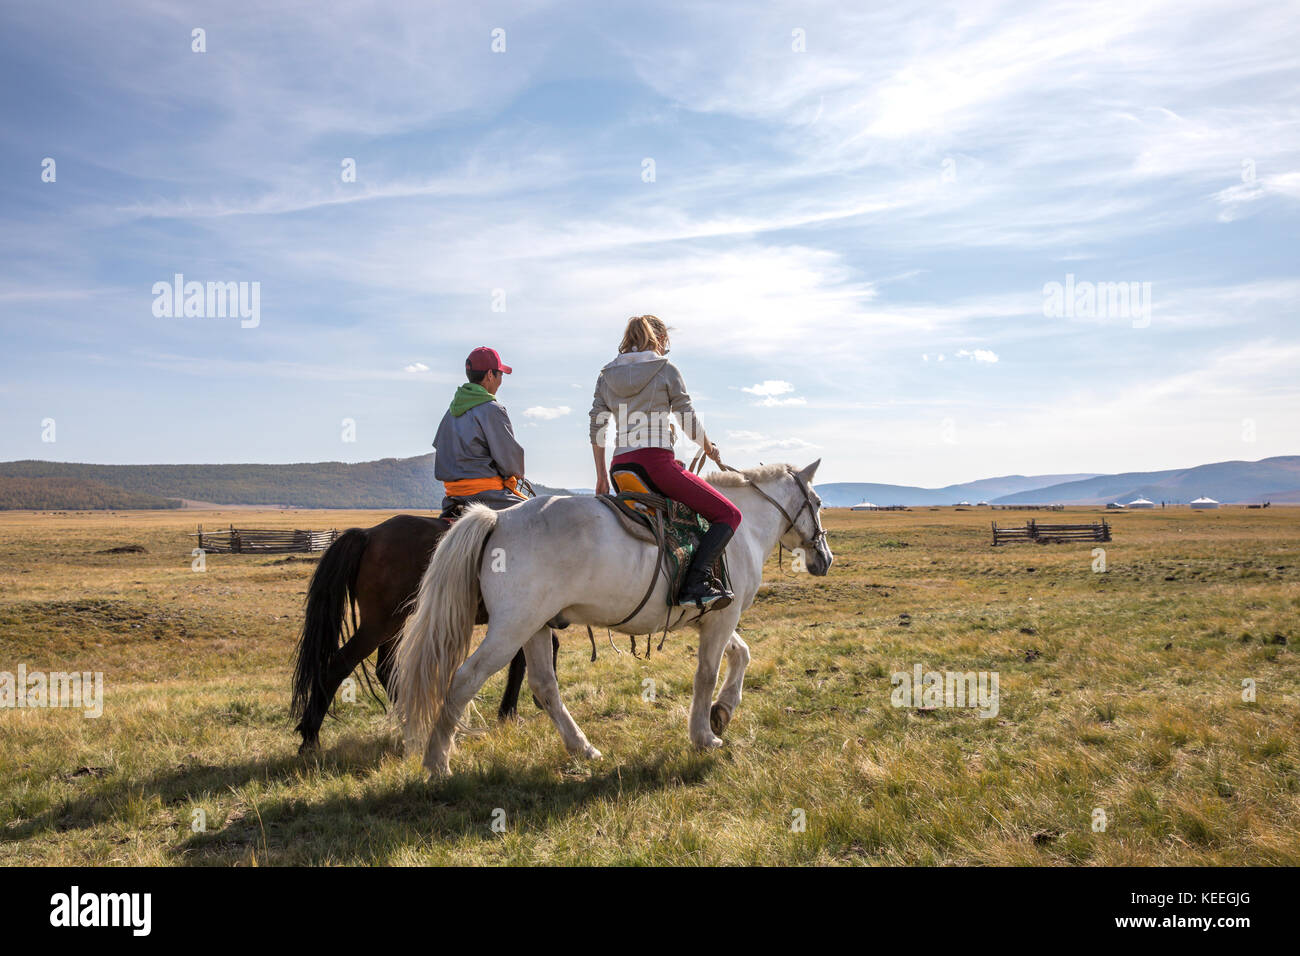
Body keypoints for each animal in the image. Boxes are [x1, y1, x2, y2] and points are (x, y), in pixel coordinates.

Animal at [289, 513, 553, 753]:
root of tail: (369, 534)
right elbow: (526, 660)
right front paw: (515, 710)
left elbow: (525, 658)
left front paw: (515, 709)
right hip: (379, 625)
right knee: (339, 665)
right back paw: (310, 739)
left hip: (394, 624)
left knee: (385, 669)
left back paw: (413, 723)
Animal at [392, 460, 832, 777]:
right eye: (818, 502)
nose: (824, 558)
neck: (744, 530)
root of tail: (499, 519)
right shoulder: (722, 619)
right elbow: (706, 674)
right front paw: (705, 735)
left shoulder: (714, 617)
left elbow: (742, 655)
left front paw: (721, 713)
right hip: (510, 629)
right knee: (466, 678)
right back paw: (437, 762)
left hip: (535, 626)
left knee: (544, 686)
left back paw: (582, 747)